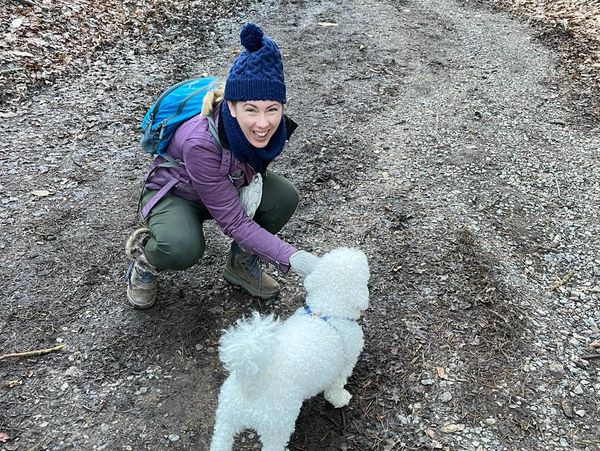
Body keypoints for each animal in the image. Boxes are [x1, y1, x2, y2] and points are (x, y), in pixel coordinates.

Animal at [211, 247, 370, 451]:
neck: (327, 309)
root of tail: (251, 383)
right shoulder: (344, 365)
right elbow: (334, 389)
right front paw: (341, 399)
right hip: (277, 424)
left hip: (226, 417)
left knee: (219, 440)